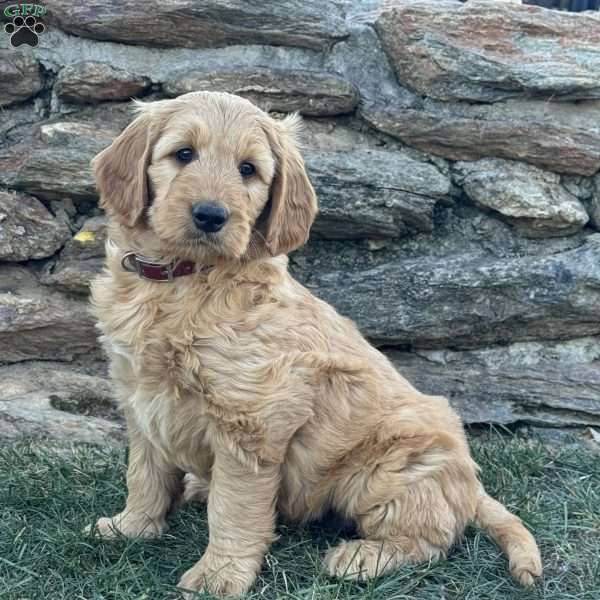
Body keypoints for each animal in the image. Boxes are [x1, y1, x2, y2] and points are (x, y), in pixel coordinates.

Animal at [89, 91, 544, 596]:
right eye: (183, 154)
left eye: (248, 169)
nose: (210, 215)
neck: (182, 280)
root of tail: (470, 480)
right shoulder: (140, 396)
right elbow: (145, 473)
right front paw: (130, 527)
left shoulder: (251, 419)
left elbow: (234, 510)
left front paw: (218, 575)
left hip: (391, 469)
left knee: (432, 537)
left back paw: (362, 557)